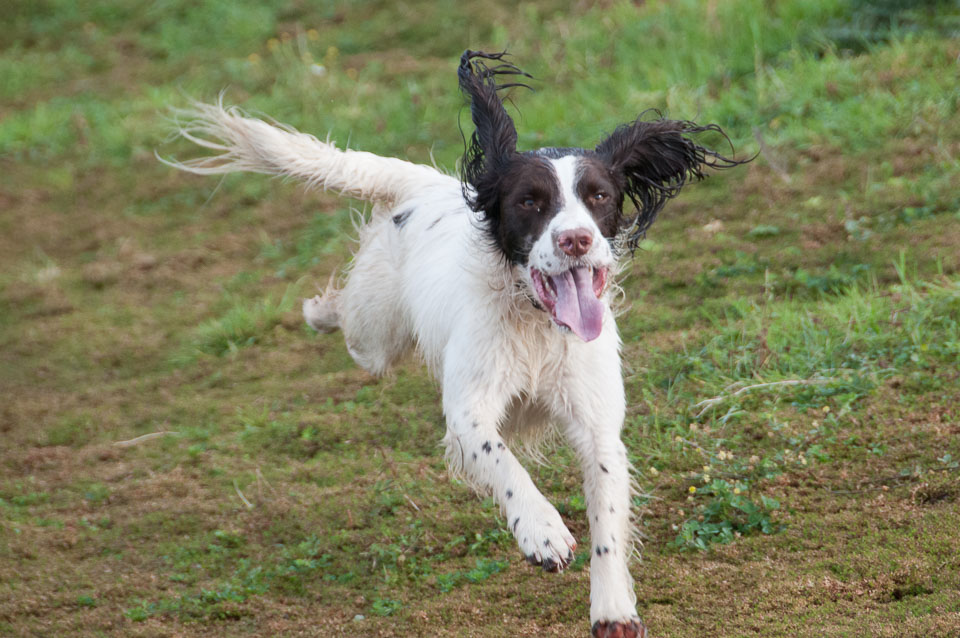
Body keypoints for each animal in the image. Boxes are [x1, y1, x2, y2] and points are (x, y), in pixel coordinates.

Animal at [167, 51, 752, 638]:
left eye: (599, 197)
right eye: (530, 202)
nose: (576, 240)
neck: (536, 324)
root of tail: (429, 186)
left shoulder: (599, 427)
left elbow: (606, 518)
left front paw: (613, 610)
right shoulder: (468, 412)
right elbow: (503, 462)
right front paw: (542, 531)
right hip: (376, 335)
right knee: (349, 316)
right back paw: (318, 310)